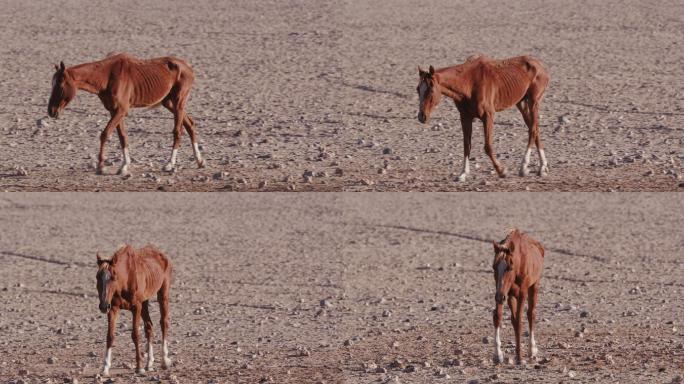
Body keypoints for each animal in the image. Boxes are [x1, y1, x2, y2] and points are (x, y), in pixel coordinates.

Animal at [47, 52, 204, 176]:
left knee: (178, 131)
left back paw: (170, 164)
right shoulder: (115, 111)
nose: (51, 111)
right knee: (190, 125)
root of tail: (187, 67)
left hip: (178, 103)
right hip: (169, 103)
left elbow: (105, 134)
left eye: (60, 85)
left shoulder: (121, 111)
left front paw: (101, 167)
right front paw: (124, 166)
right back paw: (200, 161)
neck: (107, 75)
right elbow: (122, 137)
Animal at [95, 246, 172, 376]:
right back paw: (149, 363)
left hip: (163, 294)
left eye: (113, 277)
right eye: (97, 277)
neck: (125, 279)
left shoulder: (136, 307)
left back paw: (164, 360)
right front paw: (105, 368)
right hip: (144, 302)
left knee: (164, 323)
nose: (103, 306)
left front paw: (139, 367)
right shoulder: (113, 308)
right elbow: (110, 336)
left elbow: (135, 335)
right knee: (149, 327)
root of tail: (161, 254)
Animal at [416, 54, 552, 182]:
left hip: (534, 102)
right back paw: (542, 167)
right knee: (535, 129)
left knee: (533, 130)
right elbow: (466, 145)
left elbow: (488, 146)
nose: (422, 116)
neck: (469, 83)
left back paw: (524, 167)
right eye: (418, 89)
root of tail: (540, 65)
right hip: (521, 103)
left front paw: (501, 171)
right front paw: (463, 174)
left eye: (431, 89)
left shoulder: (488, 116)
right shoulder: (465, 117)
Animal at [492, 230, 544, 364]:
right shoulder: (504, 292)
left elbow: (520, 321)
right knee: (514, 318)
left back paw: (532, 350)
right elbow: (498, 316)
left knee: (531, 314)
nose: (500, 297)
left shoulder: (522, 293)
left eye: (509, 268)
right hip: (510, 296)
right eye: (494, 267)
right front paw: (498, 355)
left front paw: (520, 357)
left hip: (534, 286)